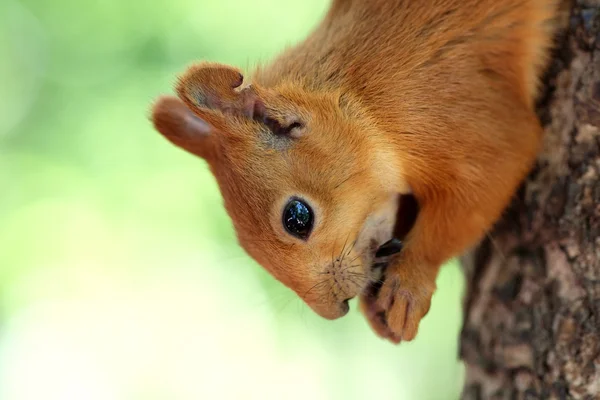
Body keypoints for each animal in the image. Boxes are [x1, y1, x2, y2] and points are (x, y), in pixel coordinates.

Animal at [150, 0, 564, 344]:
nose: (336, 309)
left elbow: (488, 179)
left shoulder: (457, 114)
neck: (362, 104)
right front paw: (374, 308)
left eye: (297, 217)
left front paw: (409, 283)